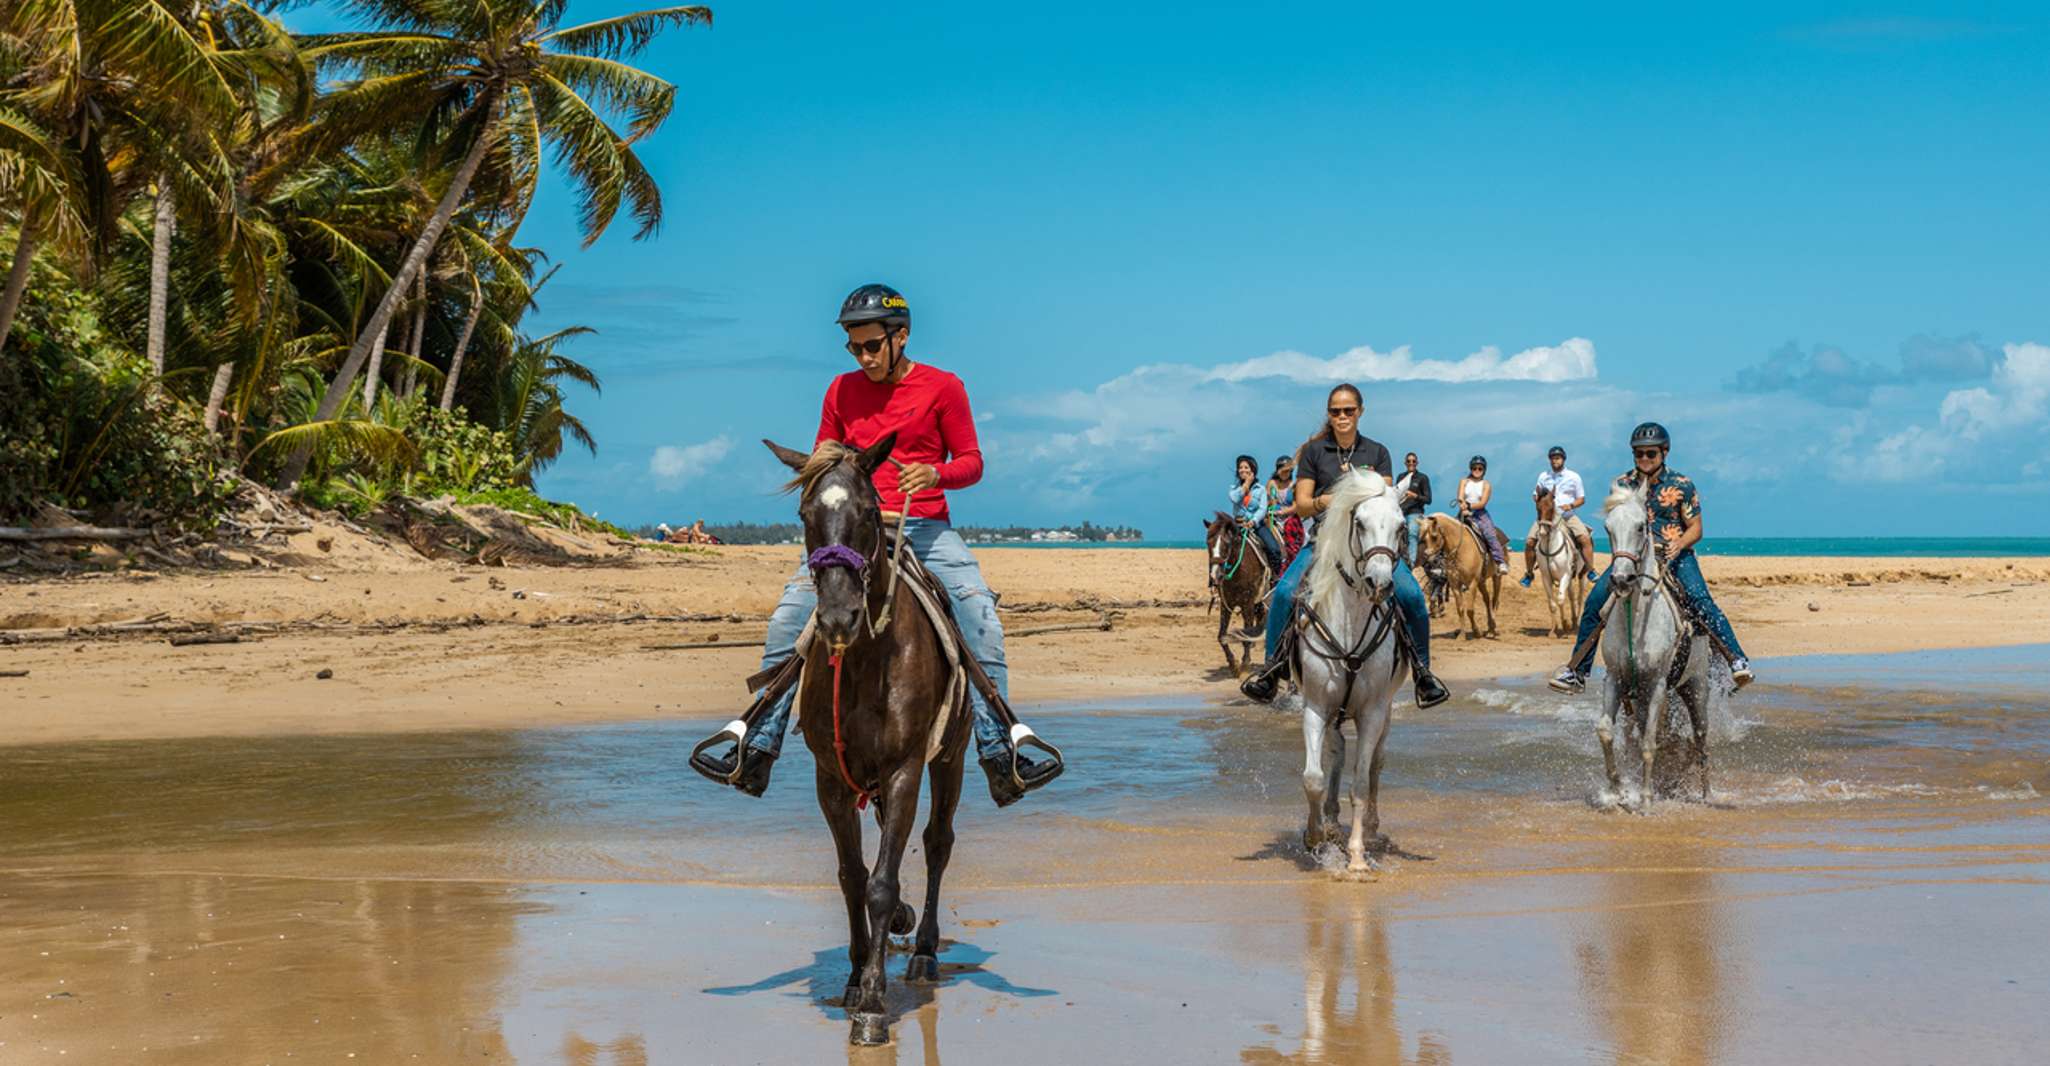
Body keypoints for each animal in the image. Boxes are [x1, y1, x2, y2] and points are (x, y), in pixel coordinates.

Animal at [766, 428, 971, 1045]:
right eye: (805, 514)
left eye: (869, 513)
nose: (838, 618)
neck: (864, 661)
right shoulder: (830, 777)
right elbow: (852, 876)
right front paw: (857, 979)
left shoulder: (905, 769)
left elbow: (881, 882)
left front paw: (875, 1005)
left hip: (950, 759)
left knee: (937, 843)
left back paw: (924, 950)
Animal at [1197, 510, 1262, 676]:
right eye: (1208, 543)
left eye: (1227, 544)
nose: (1215, 576)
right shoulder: (1227, 605)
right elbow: (1222, 636)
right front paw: (1233, 664)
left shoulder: (1247, 605)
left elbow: (1246, 635)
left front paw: (1245, 665)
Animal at [1295, 473, 1410, 873]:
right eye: (1358, 523)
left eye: (1402, 526)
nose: (1380, 583)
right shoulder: (1315, 706)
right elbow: (1313, 778)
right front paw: (1315, 836)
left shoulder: (1372, 711)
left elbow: (1360, 783)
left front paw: (1357, 857)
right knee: (1337, 753)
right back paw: (1329, 821)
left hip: (1386, 709)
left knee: (1375, 763)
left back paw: (1370, 829)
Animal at [1541, 489, 1582, 631]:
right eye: (1538, 507)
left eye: (1551, 508)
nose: (1542, 532)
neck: (1550, 547)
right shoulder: (1546, 578)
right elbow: (1552, 603)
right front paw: (1554, 629)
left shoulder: (1565, 575)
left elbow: (1560, 599)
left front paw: (1564, 624)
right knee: (1571, 596)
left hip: (1581, 576)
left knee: (1577, 597)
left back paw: (1575, 623)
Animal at [1590, 485, 1705, 807]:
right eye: (1608, 528)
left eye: (1641, 526)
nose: (1621, 579)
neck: (1636, 615)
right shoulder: (1615, 679)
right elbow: (1606, 731)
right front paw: (1617, 789)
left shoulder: (1656, 685)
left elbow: (1649, 743)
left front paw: (1645, 798)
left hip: (1696, 686)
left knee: (1701, 739)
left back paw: (1707, 794)